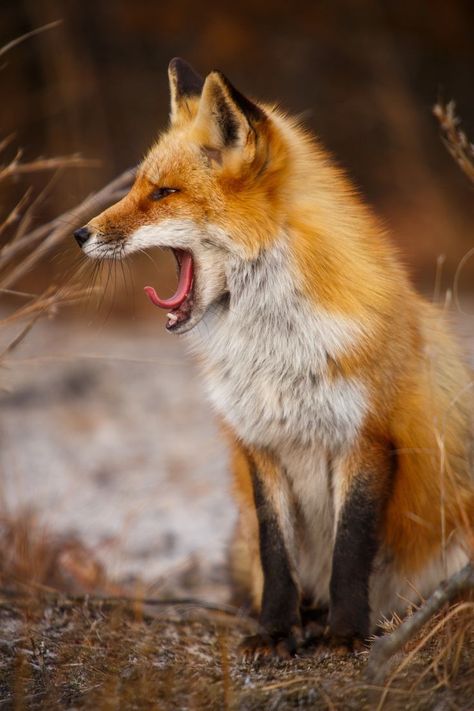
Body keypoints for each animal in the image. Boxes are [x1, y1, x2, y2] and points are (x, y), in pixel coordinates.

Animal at [72, 58, 472, 660]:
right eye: (142, 185)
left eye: (163, 192)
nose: (79, 234)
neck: (274, 350)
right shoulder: (259, 443)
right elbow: (276, 553)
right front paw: (276, 631)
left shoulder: (365, 440)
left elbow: (350, 552)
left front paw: (346, 633)